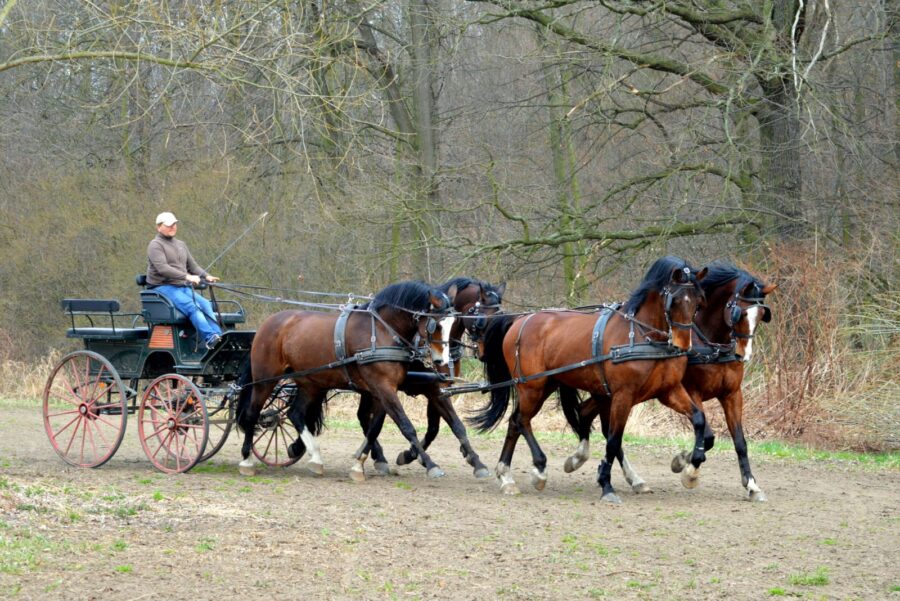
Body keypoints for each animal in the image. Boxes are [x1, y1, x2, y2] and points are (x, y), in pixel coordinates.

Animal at [236, 280, 458, 478]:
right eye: (436, 325)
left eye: (452, 324)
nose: (441, 360)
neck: (381, 331)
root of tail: (267, 323)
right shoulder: (382, 387)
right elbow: (406, 426)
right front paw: (431, 465)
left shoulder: (381, 390)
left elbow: (374, 428)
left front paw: (359, 465)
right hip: (265, 379)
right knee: (252, 413)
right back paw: (246, 460)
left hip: (310, 383)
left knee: (295, 413)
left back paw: (316, 458)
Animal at [356, 276, 506, 478]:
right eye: (482, 320)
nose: (489, 352)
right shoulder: (431, 389)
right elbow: (439, 427)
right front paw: (414, 456)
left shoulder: (440, 390)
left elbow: (446, 427)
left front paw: (475, 461)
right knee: (366, 417)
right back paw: (378, 457)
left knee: (363, 416)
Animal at [468, 254, 708, 502]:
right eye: (674, 300)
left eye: (699, 302)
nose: (683, 344)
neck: (643, 337)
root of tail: (518, 321)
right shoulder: (623, 395)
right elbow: (613, 440)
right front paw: (606, 485)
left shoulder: (668, 390)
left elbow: (699, 419)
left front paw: (690, 469)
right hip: (532, 387)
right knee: (521, 421)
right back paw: (539, 470)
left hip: (547, 385)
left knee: (516, 422)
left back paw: (506, 476)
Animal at [564, 260, 772, 500]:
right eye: (740, 313)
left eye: (762, 314)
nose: (744, 354)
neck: (709, 343)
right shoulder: (691, 390)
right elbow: (708, 436)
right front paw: (686, 466)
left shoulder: (731, 394)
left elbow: (739, 441)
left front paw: (752, 485)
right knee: (607, 429)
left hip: (606, 393)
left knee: (587, 413)